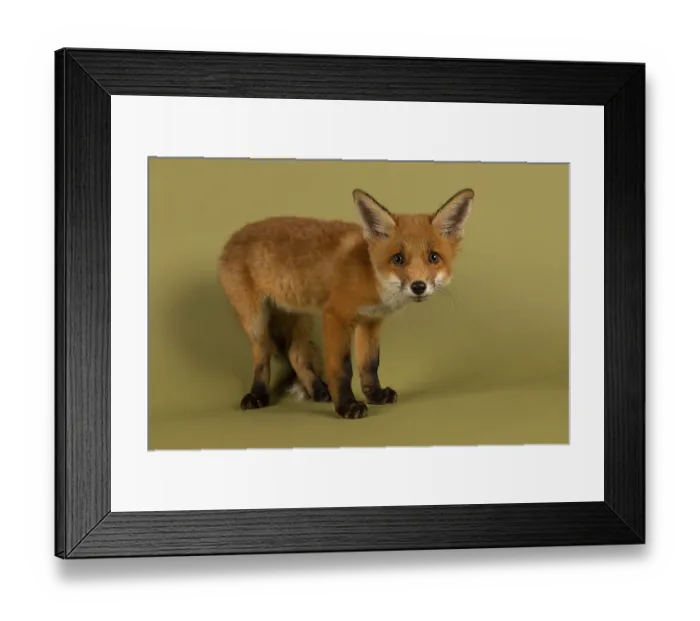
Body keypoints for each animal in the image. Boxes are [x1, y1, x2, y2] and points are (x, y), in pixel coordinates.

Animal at [218, 187, 475, 419]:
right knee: (262, 356)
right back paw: (258, 395)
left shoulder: (371, 321)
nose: (419, 286)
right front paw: (347, 406)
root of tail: (234, 236)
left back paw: (319, 391)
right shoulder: (336, 316)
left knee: (296, 355)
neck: (371, 275)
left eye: (433, 257)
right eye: (398, 259)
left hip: (301, 318)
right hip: (256, 321)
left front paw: (375, 396)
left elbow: (369, 364)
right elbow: (342, 368)